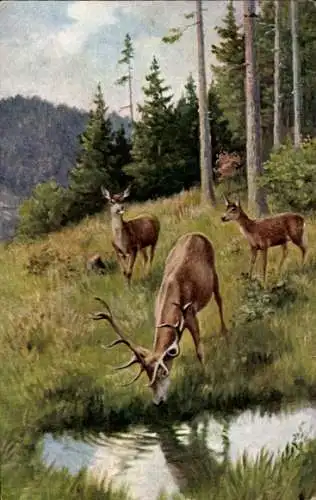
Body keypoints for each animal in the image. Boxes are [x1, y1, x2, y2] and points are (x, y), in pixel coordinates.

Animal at [89, 233, 227, 406]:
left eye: (162, 372)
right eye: (147, 375)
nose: (158, 402)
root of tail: (196, 234)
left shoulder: (190, 314)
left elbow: (199, 351)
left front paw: (207, 376)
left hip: (214, 272)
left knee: (219, 299)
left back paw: (224, 331)